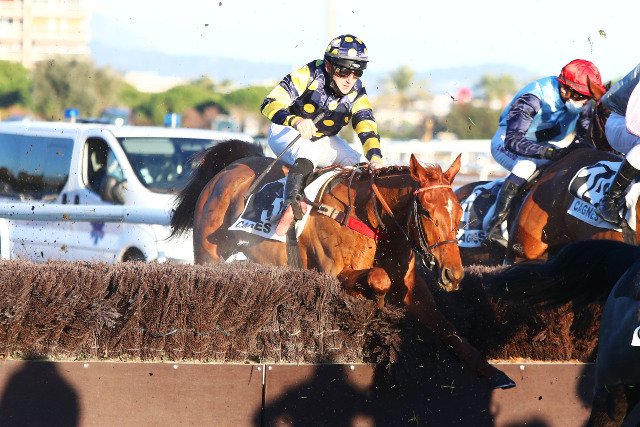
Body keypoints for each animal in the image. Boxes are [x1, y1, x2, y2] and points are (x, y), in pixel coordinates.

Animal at [170, 139, 515, 389]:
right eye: (428, 213)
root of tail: (230, 167)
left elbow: (448, 327)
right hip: (209, 253)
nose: (452, 274)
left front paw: (493, 373)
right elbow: (378, 279)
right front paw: (374, 313)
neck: (372, 218)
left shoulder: (412, 288)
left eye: (459, 212)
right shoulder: (333, 274)